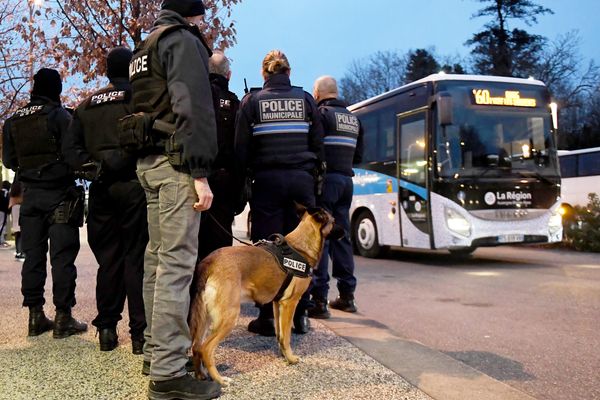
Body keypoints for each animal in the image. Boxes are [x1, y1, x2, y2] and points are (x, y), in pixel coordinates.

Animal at [188, 205, 342, 386]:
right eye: (334, 221)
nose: (345, 232)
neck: (301, 248)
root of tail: (209, 262)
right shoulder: (290, 303)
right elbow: (287, 335)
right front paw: (291, 358)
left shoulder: (278, 303)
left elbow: (280, 334)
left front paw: (284, 355)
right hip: (228, 317)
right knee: (206, 348)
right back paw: (219, 379)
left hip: (205, 318)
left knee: (196, 347)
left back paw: (200, 375)